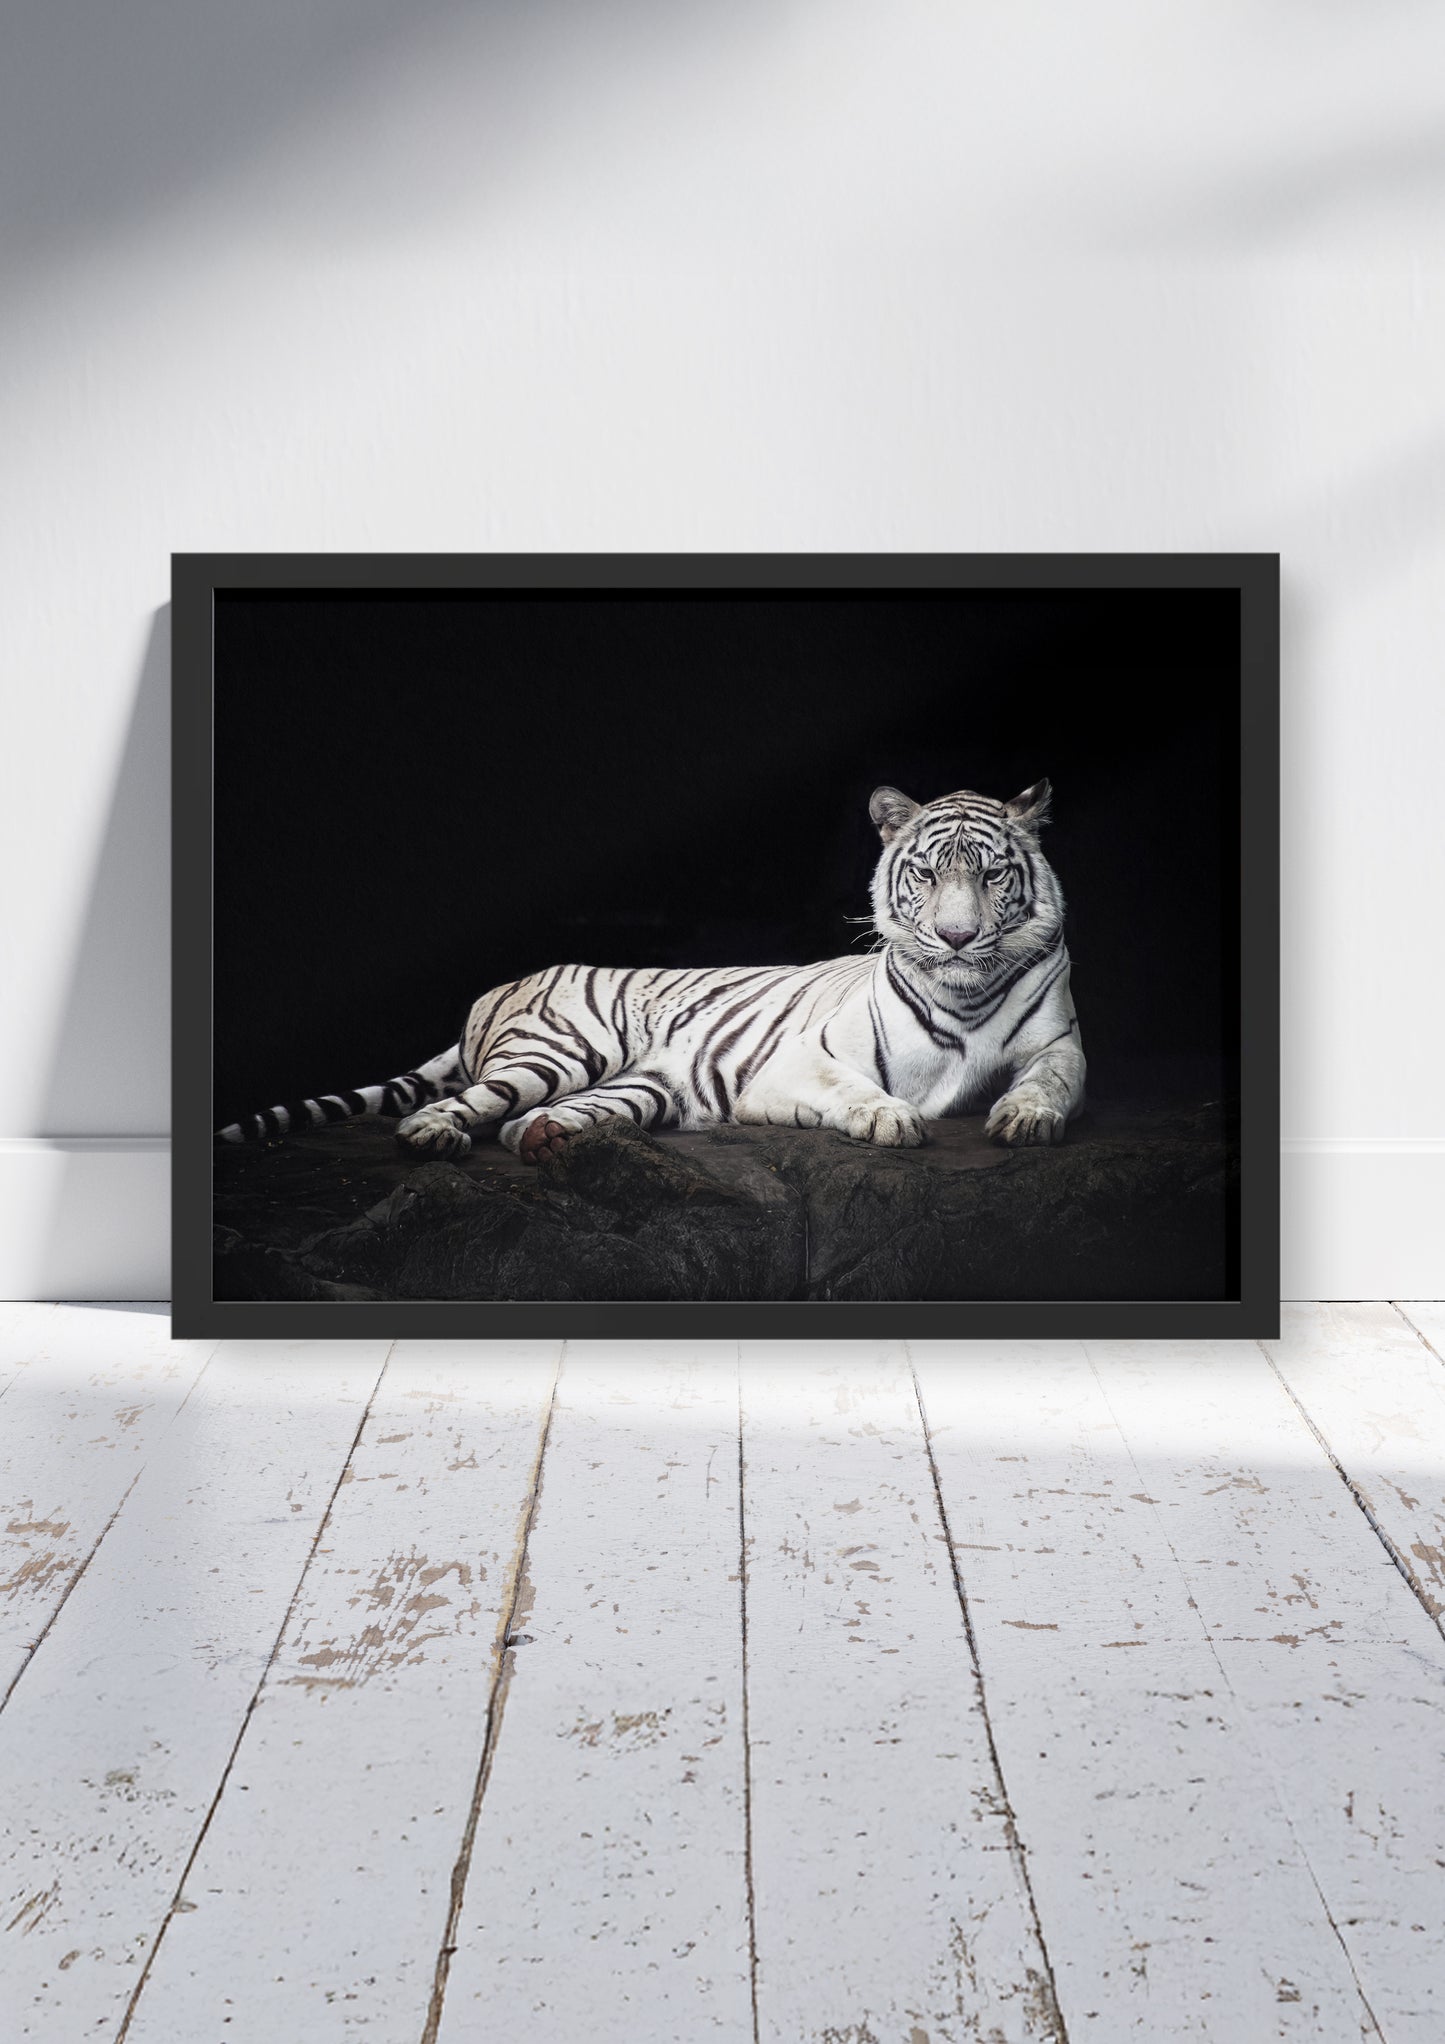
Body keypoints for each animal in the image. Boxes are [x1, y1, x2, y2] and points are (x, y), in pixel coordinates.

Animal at [217, 780, 1086, 1164]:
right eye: (928, 875)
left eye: (992, 875)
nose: (955, 937)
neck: (963, 992)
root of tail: (501, 983)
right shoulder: (797, 1064)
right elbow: (856, 1089)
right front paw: (891, 1119)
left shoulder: (1060, 1044)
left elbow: (1051, 1081)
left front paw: (1025, 1119)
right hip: (558, 1051)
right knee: (461, 1106)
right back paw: (433, 1135)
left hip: (645, 1086)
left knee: (521, 1124)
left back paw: (548, 1138)